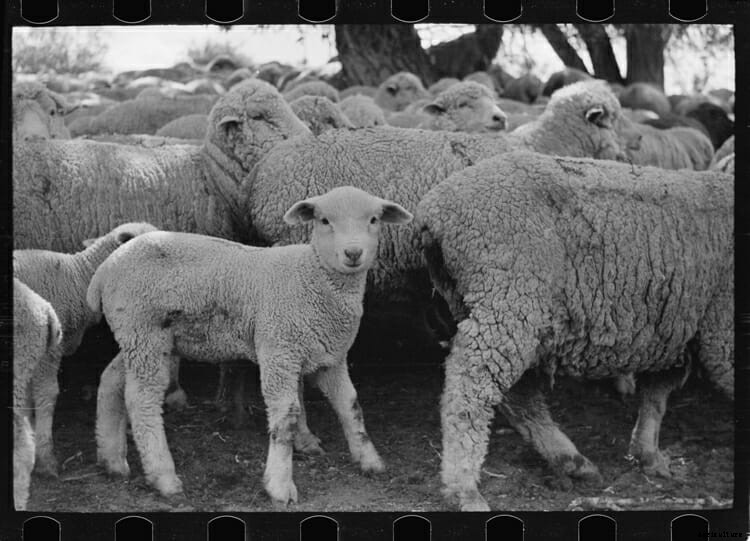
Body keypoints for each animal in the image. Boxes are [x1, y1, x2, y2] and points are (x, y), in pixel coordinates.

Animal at [86, 186, 413, 503]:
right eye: (324, 221)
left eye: (374, 220)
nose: (353, 253)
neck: (312, 275)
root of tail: (105, 270)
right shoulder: (279, 352)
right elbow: (287, 417)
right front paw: (280, 485)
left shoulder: (329, 357)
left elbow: (351, 406)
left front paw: (369, 460)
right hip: (145, 332)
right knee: (141, 399)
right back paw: (163, 478)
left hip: (138, 338)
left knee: (111, 380)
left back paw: (112, 460)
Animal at [414, 150, 733, 511]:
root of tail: (434, 210)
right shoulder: (721, 332)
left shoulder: (674, 329)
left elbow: (656, 395)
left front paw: (648, 454)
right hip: (510, 296)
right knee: (470, 387)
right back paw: (465, 488)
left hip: (488, 304)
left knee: (517, 395)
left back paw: (572, 462)